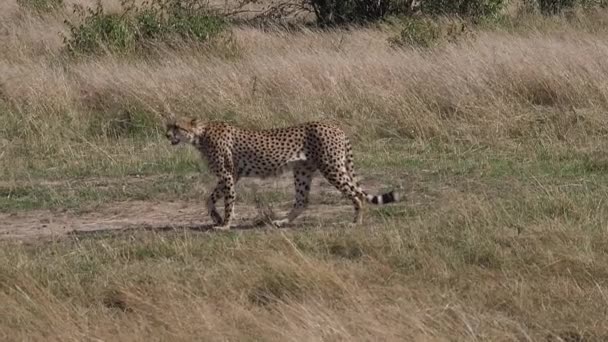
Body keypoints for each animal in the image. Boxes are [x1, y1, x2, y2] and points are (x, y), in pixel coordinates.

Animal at [165, 117, 400, 230]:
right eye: (169, 125)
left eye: (176, 126)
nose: (166, 135)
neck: (200, 135)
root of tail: (334, 126)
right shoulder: (232, 175)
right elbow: (210, 198)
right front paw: (216, 218)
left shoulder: (227, 175)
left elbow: (229, 200)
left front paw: (226, 225)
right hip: (302, 171)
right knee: (302, 201)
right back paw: (283, 222)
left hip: (331, 167)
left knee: (357, 194)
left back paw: (355, 222)